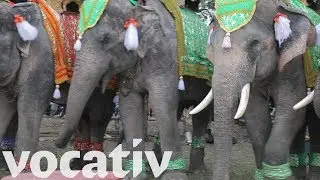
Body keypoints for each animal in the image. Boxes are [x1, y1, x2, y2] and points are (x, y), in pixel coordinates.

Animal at [191, 0, 318, 179]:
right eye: (212, 47)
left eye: (255, 44)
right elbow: (255, 117)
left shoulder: (294, 63)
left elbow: (291, 109)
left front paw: (279, 175)